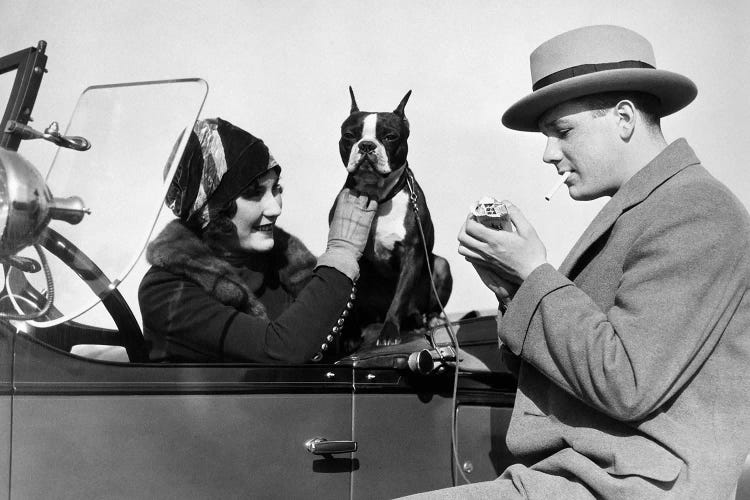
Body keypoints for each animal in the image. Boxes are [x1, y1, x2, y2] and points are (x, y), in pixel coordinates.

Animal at [334, 88, 452, 348]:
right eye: (349, 135)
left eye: (390, 136)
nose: (367, 146)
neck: (378, 197)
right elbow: (348, 302)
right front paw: (348, 336)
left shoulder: (412, 254)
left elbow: (399, 298)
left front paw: (389, 332)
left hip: (440, 265)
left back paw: (429, 319)